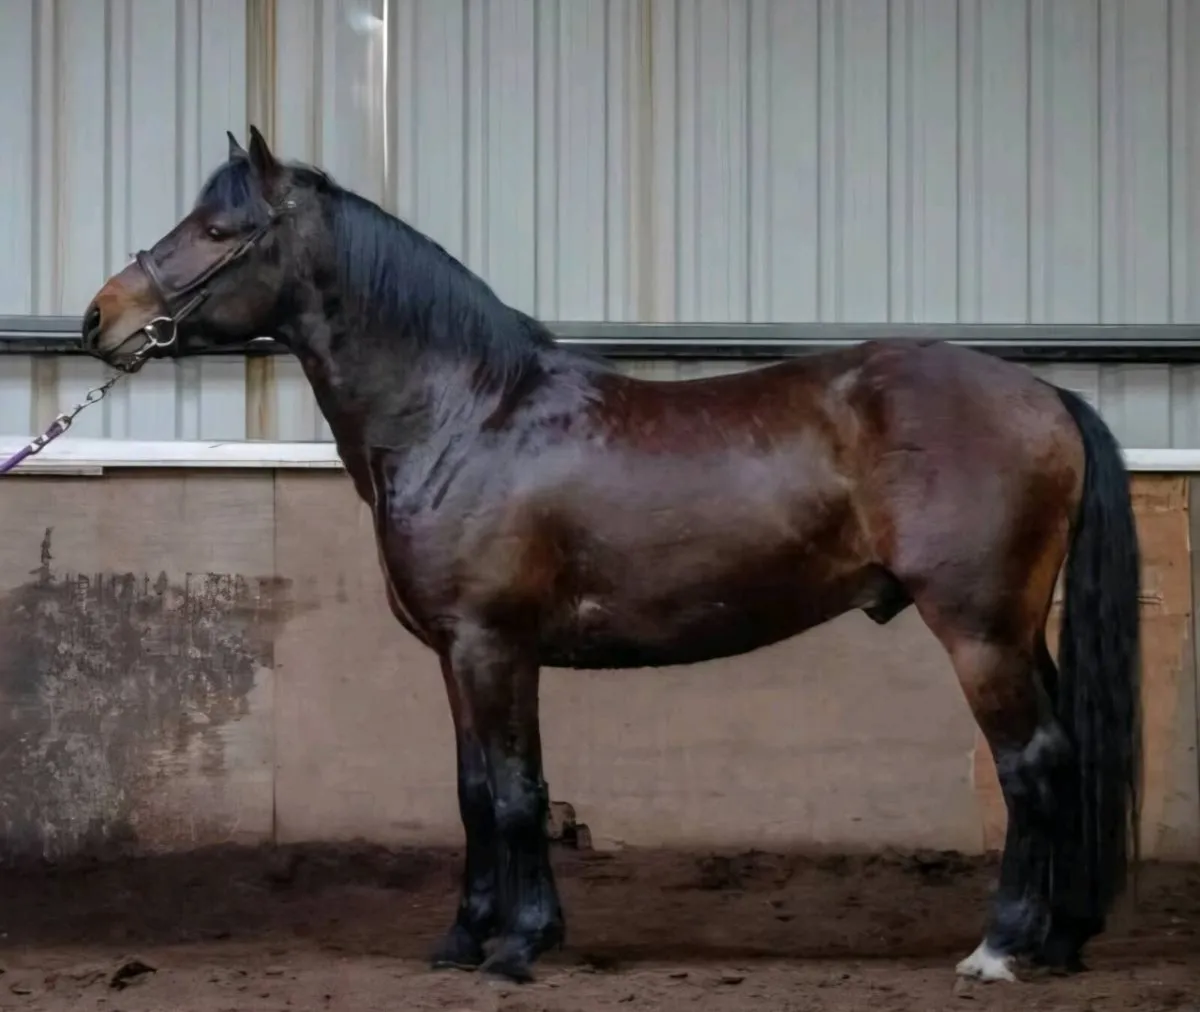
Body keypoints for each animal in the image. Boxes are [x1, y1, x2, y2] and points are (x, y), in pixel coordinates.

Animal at [80, 126, 1141, 985]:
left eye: (221, 230)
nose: (102, 319)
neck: (465, 413)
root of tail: (1044, 395)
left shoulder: (494, 647)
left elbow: (517, 795)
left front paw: (518, 947)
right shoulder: (455, 657)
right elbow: (474, 794)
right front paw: (465, 940)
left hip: (979, 633)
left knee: (1029, 764)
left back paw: (999, 949)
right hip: (1018, 632)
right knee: (1064, 761)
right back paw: (1059, 939)